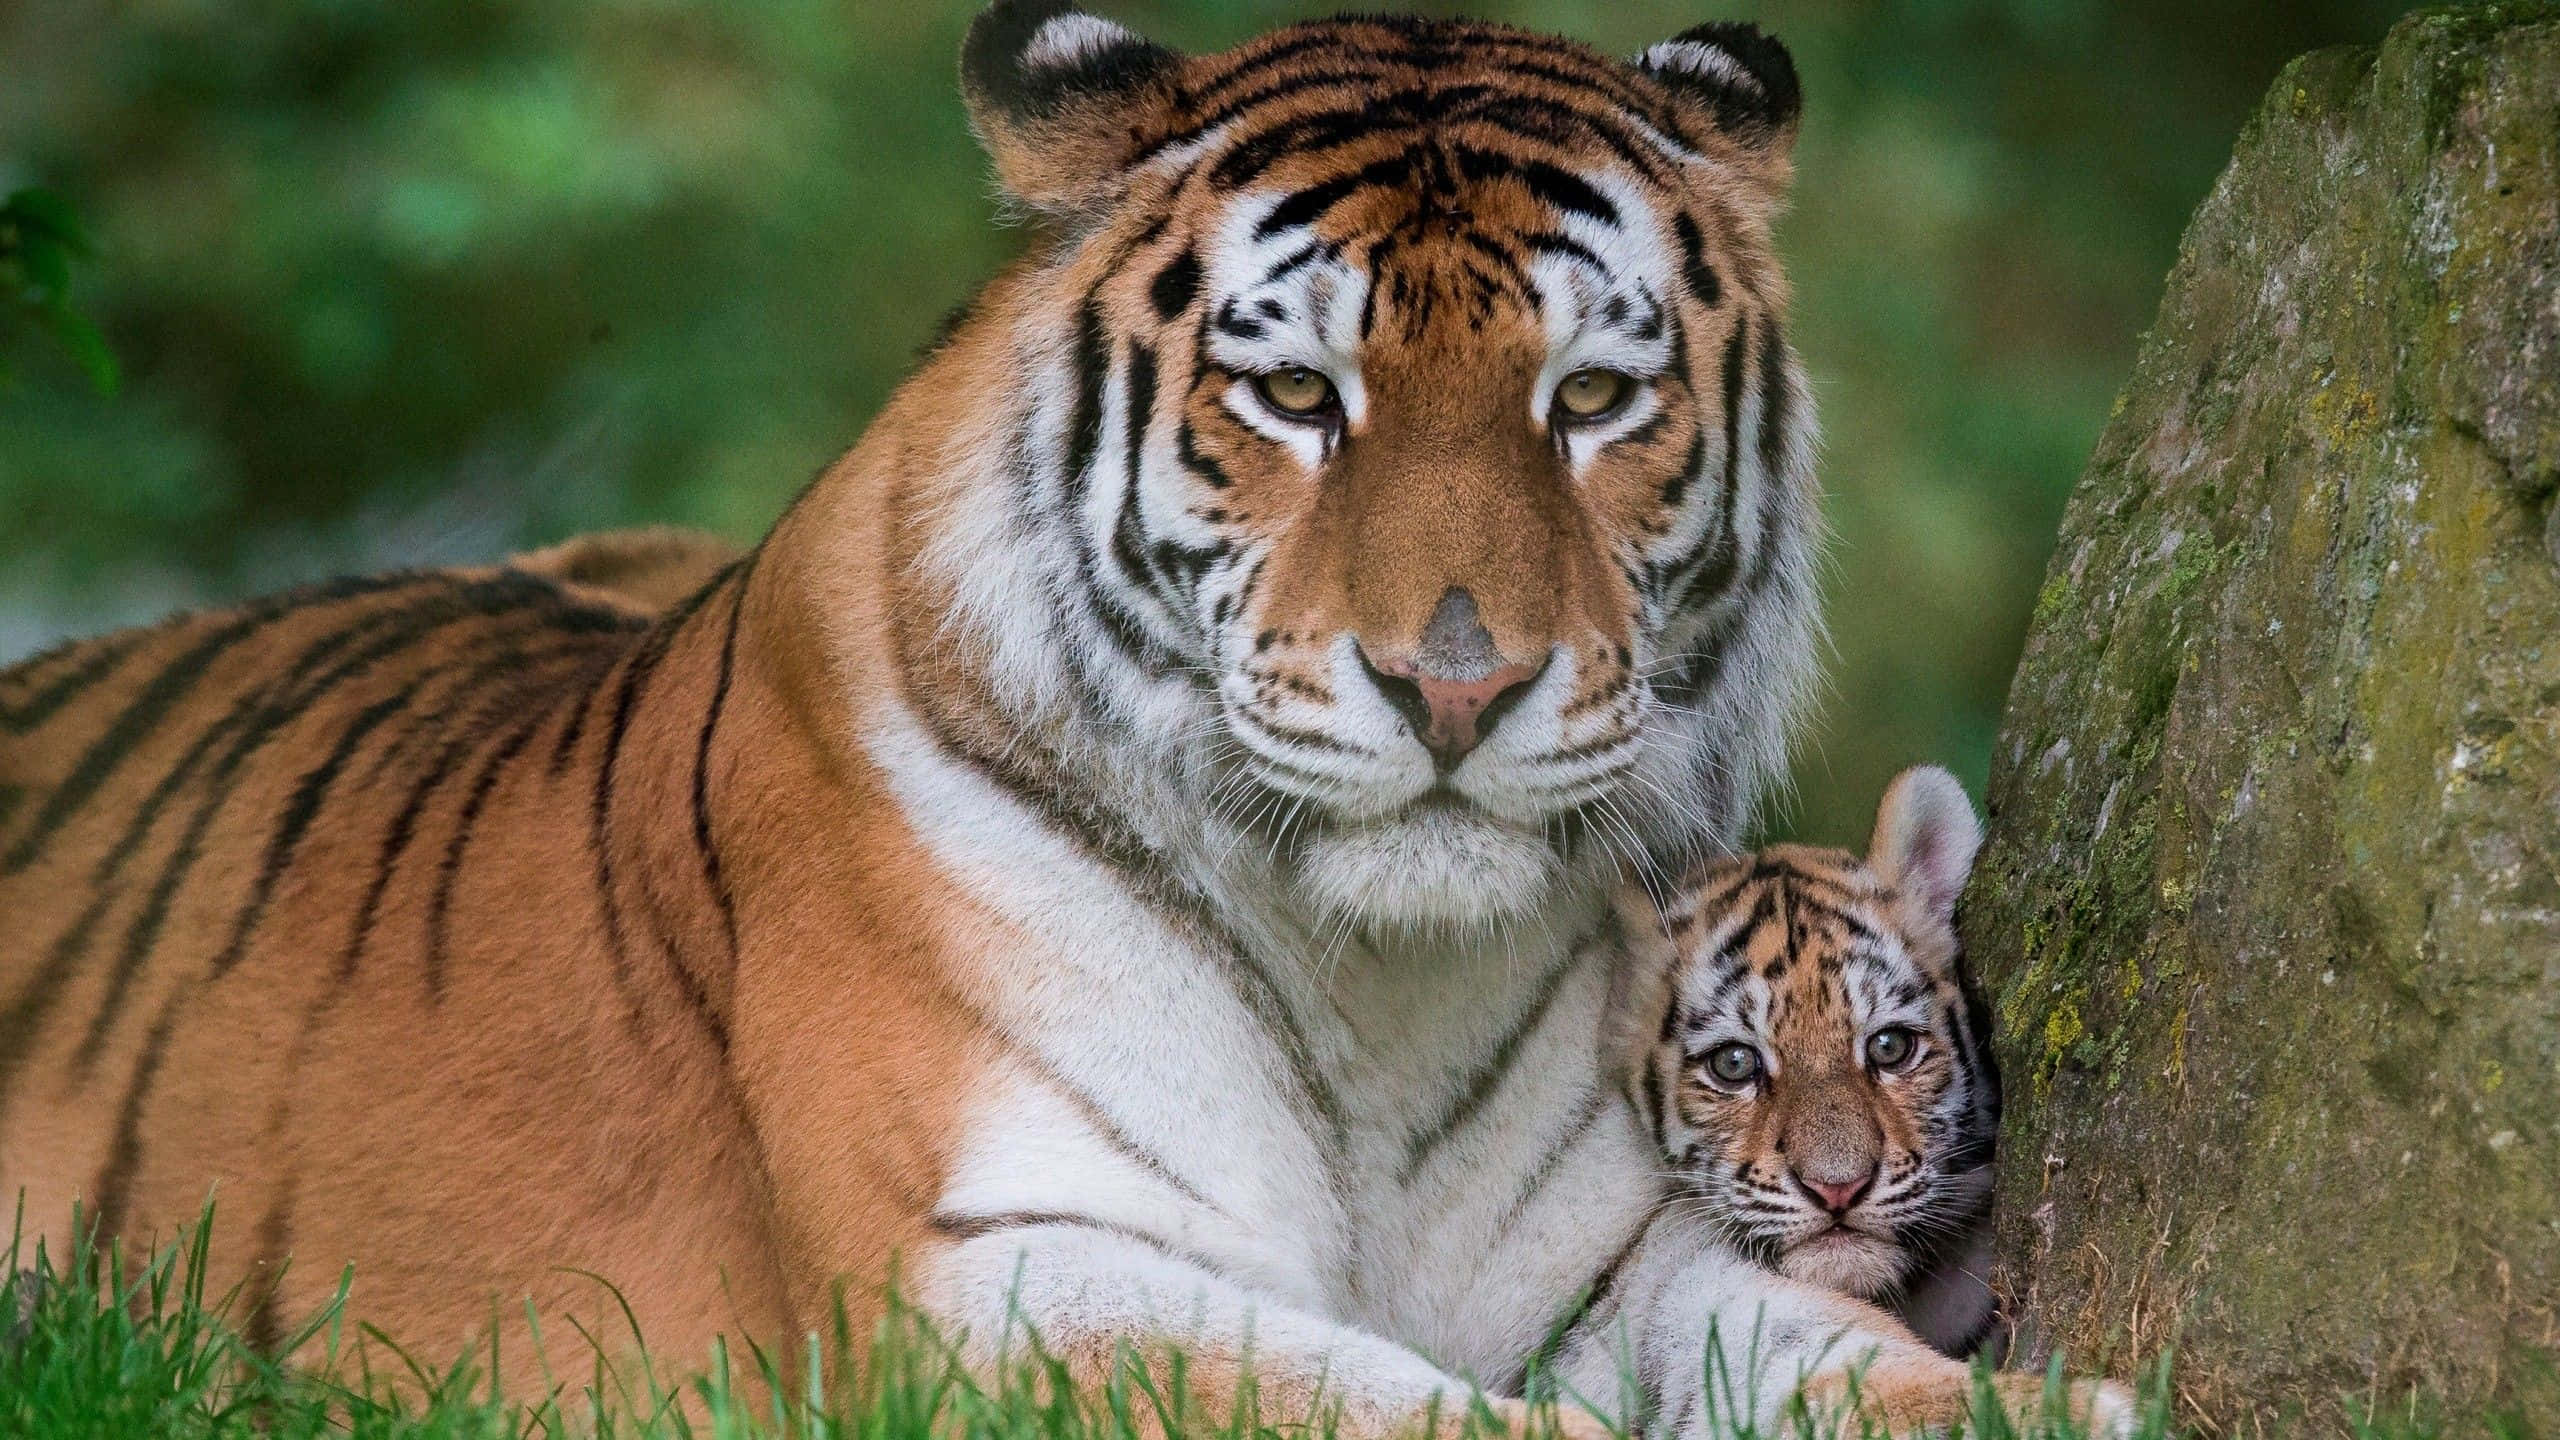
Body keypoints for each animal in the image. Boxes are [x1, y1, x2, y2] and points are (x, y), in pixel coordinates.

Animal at [0, 4, 2130, 1436]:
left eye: (1594, 401)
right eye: (1298, 398)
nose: (1457, 682)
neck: (1381, 979)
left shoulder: (1628, 1252)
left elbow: (1822, 1346)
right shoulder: (1001, 1272)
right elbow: (1402, 1412)